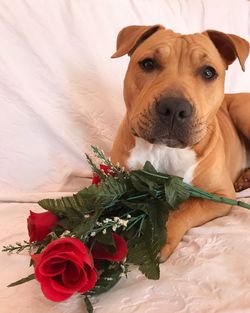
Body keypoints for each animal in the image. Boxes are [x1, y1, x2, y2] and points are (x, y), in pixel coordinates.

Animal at [110, 25, 250, 260]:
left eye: (209, 72)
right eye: (148, 64)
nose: (174, 107)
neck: (163, 149)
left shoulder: (219, 195)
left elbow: (186, 208)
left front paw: (158, 237)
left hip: (241, 109)